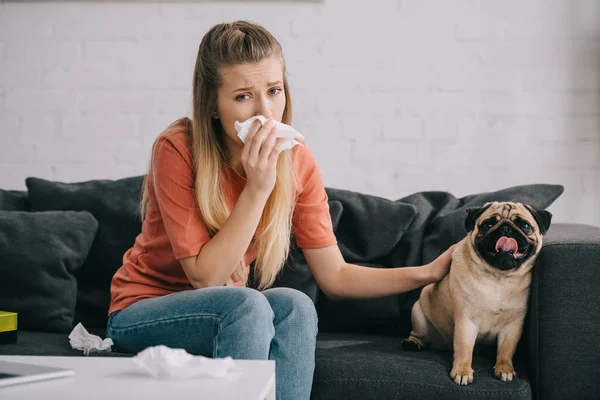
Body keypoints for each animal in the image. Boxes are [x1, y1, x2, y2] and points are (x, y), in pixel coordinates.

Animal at [404, 203, 552, 384]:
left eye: (524, 226)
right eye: (487, 225)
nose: (506, 228)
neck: (498, 277)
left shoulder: (513, 325)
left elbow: (506, 349)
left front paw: (505, 369)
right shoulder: (466, 321)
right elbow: (464, 349)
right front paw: (462, 371)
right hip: (418, 314)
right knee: (418, 334)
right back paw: (412, 343)